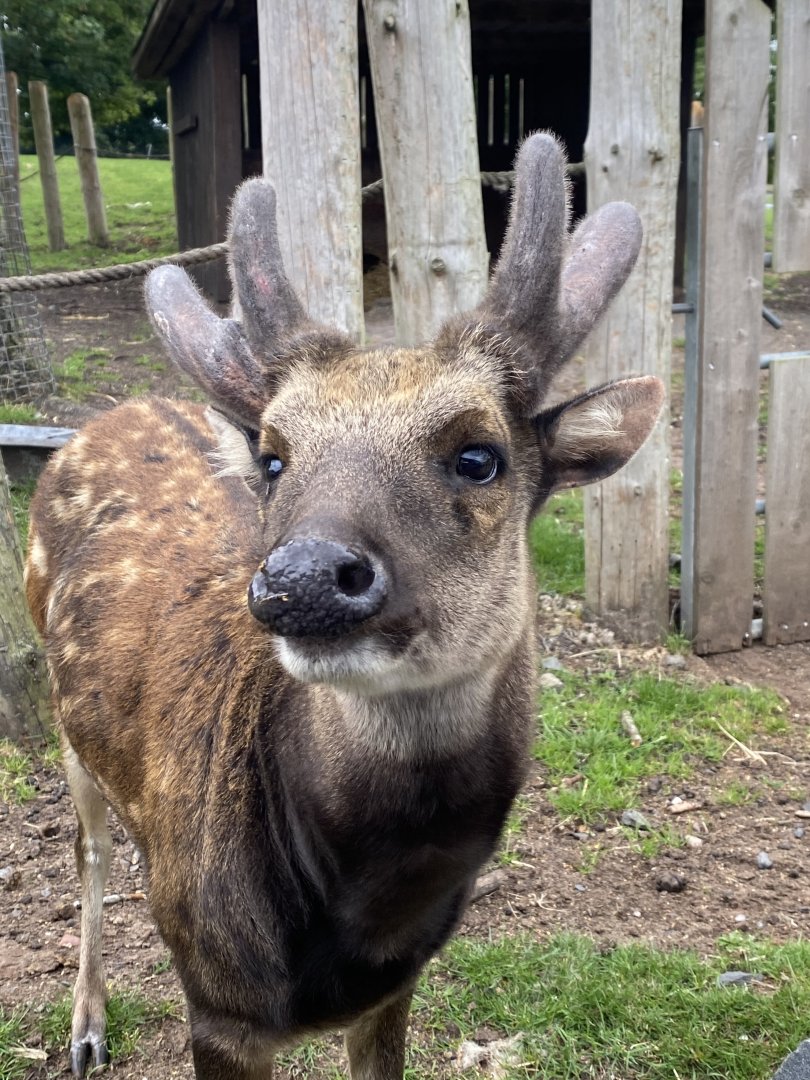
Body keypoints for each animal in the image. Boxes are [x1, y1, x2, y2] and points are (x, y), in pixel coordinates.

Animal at [25, 133, 663, 1080]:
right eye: (275, 458)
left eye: (480, 455)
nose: (304, 576)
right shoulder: (219, 1009)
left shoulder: (394, 993)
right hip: (62, 714)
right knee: (89, 851)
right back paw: (86, 1029)